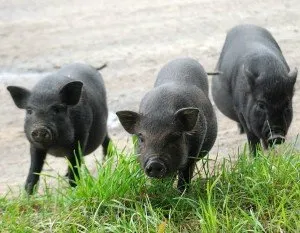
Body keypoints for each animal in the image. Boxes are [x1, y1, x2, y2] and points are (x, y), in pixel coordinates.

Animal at [7, 62, 110, 194]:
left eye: (57, 109)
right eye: (29, 111)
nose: (40, 129)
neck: (56, 147)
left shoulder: (80, 137)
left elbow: (75, 165)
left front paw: (74, 191)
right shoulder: (34, 145)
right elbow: (34, 169)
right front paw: (27, 195)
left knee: (106, 141)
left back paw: (107, 163)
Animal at [116, 57, 217, 191]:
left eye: (175, 136)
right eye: (141, 137)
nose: (155, 163)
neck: (160, 110)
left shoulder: (195, 149)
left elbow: (186, 173)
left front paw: (181, 193)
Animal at [211, 24, 298, 154]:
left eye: (287, 104)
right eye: (261, 105)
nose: (276, 136)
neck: (270, 74)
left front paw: (269, 152)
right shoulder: (241, 112)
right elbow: (252, 137)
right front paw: (255, 156)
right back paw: (240, 131)